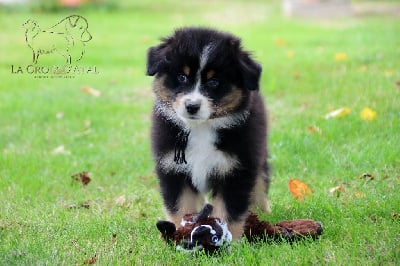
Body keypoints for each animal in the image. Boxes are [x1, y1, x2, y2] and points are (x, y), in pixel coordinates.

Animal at [145, 27, 270, 239]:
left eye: (214, 82)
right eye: (182, 77)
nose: (192, 106)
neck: (201, 128)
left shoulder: (237, 169)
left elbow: (229, 211)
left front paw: (229, 240)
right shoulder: (173, 169)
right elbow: (180, 207)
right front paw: (179, 234)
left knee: (261, 182)